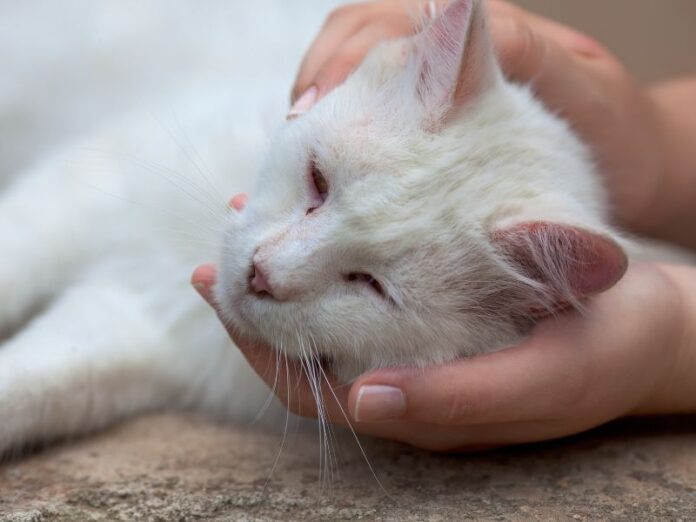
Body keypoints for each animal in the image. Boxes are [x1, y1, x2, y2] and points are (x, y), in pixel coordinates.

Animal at [0, 0, 644, 456]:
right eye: (318, 180)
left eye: (370, 285)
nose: (262, 273)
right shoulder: (82, 184)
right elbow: (15, 260)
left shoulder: (128, 330)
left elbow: (31, 385)